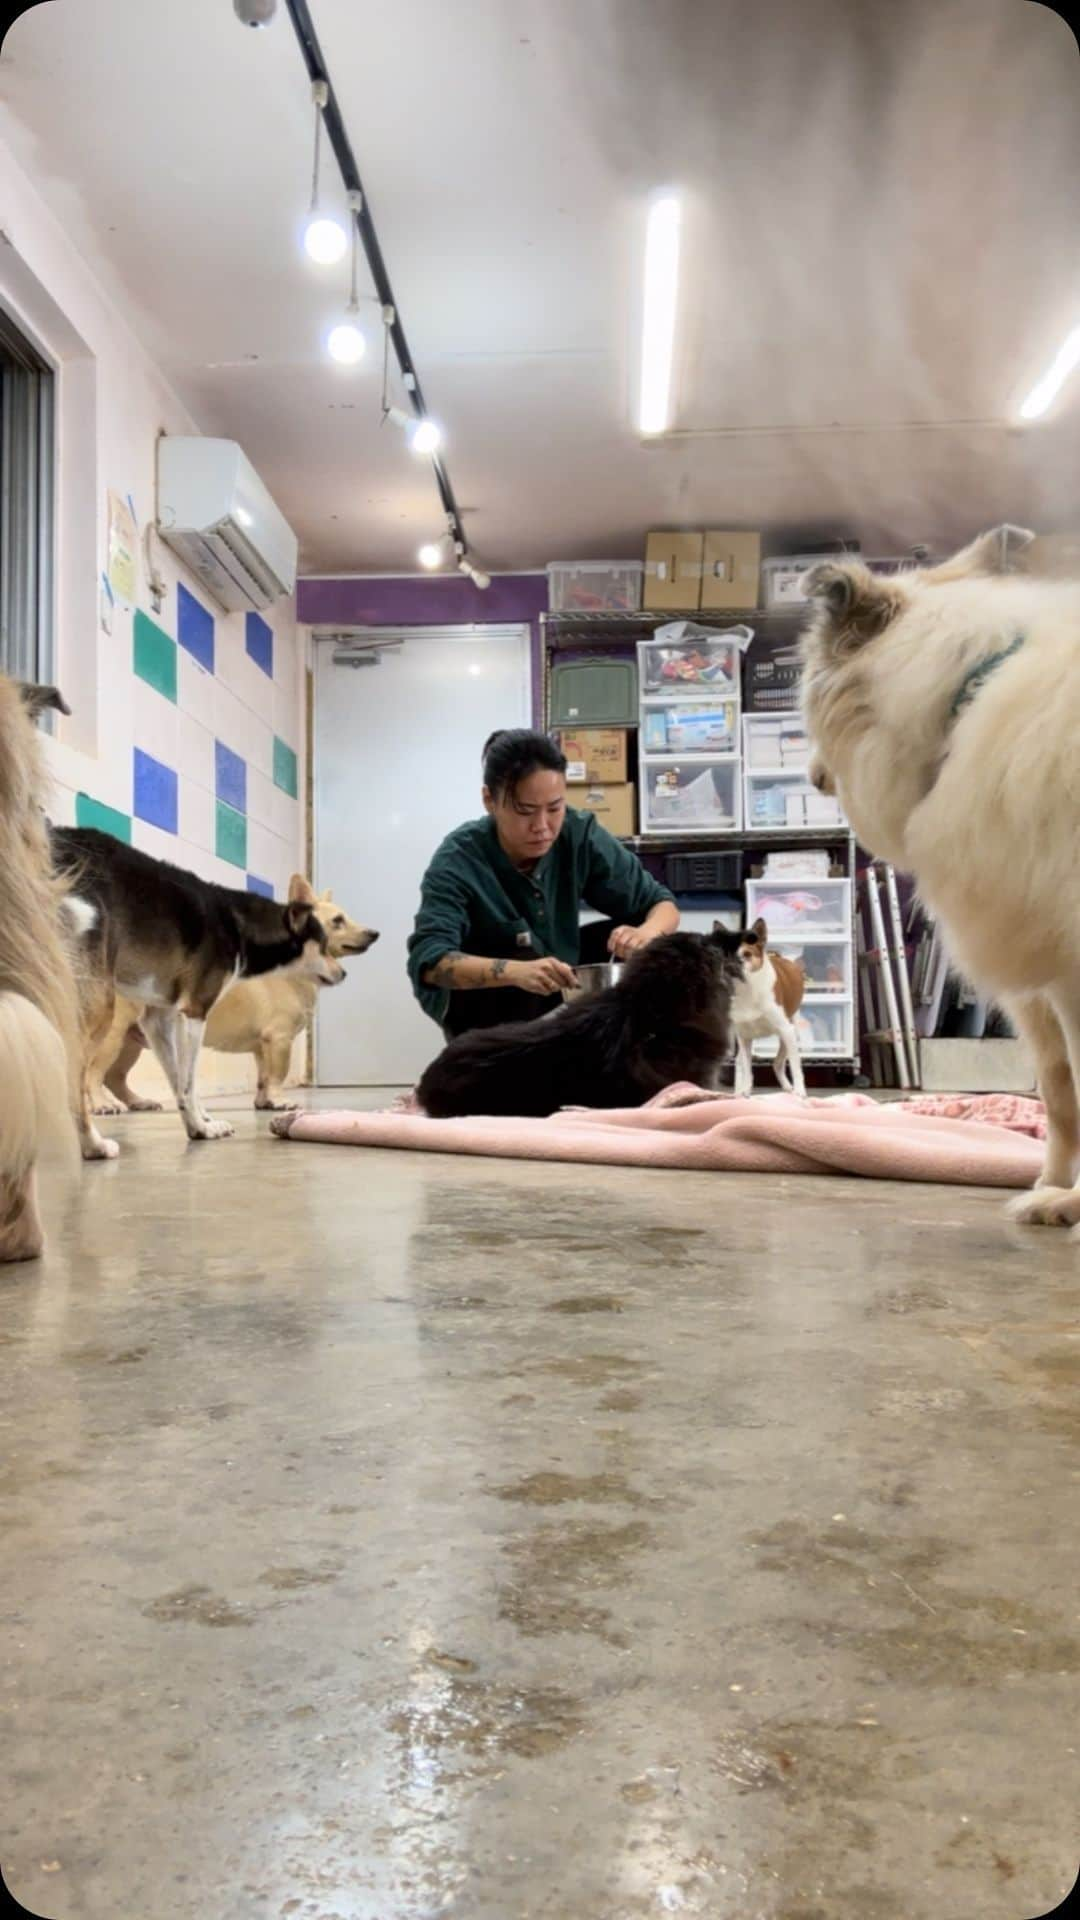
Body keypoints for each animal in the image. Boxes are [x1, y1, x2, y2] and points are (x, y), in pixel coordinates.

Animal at [52, 829, 342, 1152]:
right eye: (324, 946)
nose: (343, 973)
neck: (239, 924)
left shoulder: (159, 1019)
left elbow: (180, 1083)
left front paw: (198, 1125)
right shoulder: (195, 1012)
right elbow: (189, 1083)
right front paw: (202, 1128)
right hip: (99, 1008)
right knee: (80, 1078)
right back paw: (94, 1144)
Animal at [93, 887, 378, 1113]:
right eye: (338, 920)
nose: (374, 933)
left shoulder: (264, 1047)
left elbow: (264, 1077)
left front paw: (265, 1102)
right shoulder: (280, 1039)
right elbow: (278, 1074)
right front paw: (280, 1100)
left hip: (131, 1042)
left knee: (115, 1077)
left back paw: (137, 1101)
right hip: (113, 1037)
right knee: (93, 1075)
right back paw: (101, 1104)